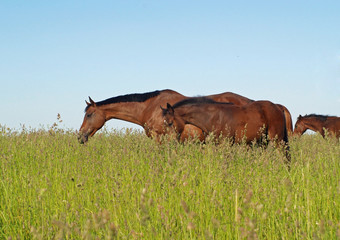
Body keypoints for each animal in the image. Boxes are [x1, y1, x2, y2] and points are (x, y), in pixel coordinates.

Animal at [161, 97, 290, 161]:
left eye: (170, 123)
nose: (168, 142)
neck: (213, 116)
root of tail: (277, 106)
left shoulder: (225, 144)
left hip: (277, 140)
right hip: (264, 142)